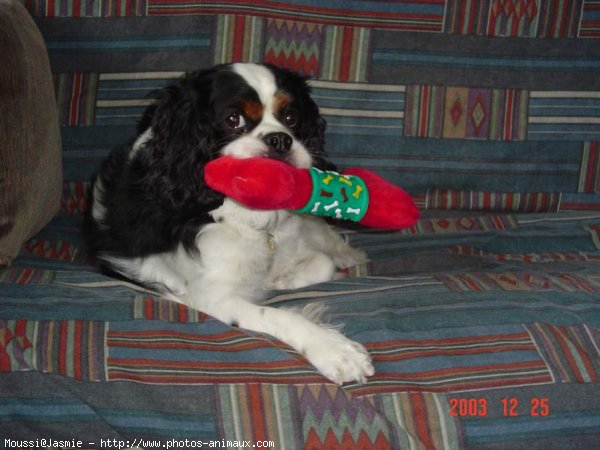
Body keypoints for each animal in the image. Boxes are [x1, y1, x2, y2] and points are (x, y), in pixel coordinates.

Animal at [86, 63, 372, 384]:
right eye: (234, 119)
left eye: (291, 117)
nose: (280, 139)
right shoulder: (208, 298)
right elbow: (278, 314)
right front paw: (335, 351)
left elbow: (322, 263)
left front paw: (281, 278)